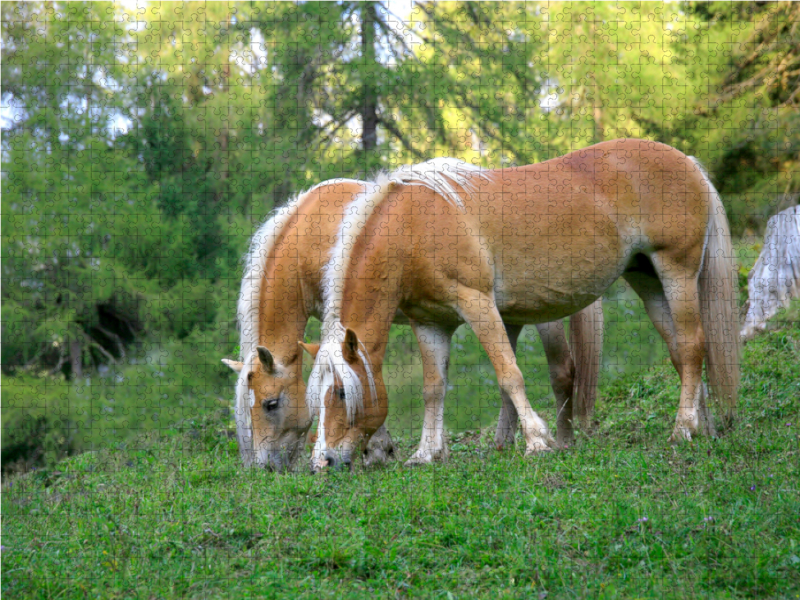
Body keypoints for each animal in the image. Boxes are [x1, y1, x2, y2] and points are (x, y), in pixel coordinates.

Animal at [220, 171, 600, 472]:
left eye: (270, 404)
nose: (263, 467)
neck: (311, 234)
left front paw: (378, 450)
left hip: (540, 312)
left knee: (561, 370)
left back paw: (559, 439)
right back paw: (505, 442)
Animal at [304, 139, 736, 468]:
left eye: (341, 393)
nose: (325, 461)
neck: (413, 228)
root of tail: (688, 161)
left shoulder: (478, 304)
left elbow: (509, 374)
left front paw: (537, 441)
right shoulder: (429, 323)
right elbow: (433, 388)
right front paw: (426, 453)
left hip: (676, 273)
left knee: (693, 345)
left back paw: (682, 429)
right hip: (648, 282)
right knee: (680, 352)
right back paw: (702, 425)